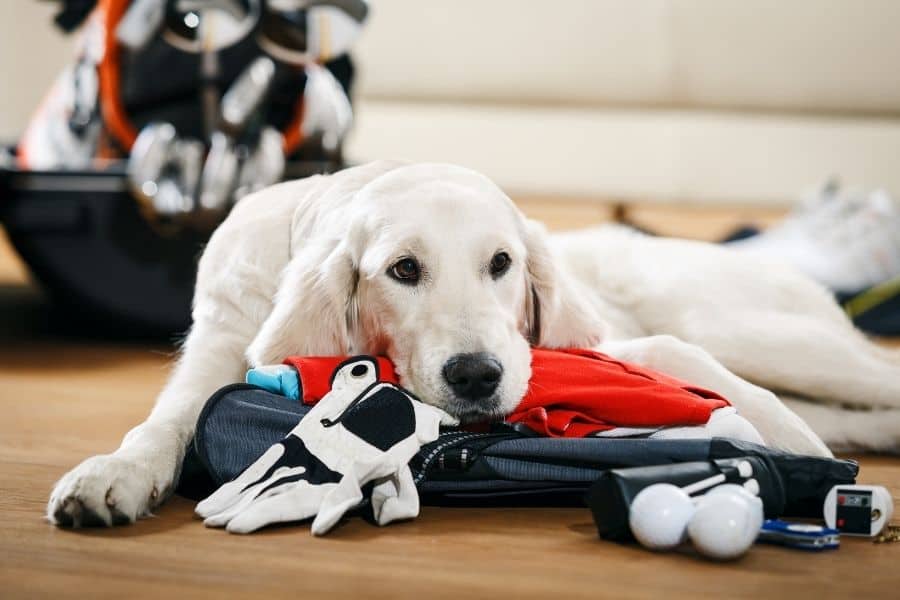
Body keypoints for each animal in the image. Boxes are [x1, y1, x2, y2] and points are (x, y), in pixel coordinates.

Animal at [47, 159, 900, 524]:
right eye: (402, 269)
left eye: (501, 264)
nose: (477, 376)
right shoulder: (216, 351)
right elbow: (162, 424)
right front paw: (110, 476)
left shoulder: (615, 347)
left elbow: (691, 368)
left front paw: (790, 456)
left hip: (753, 330)